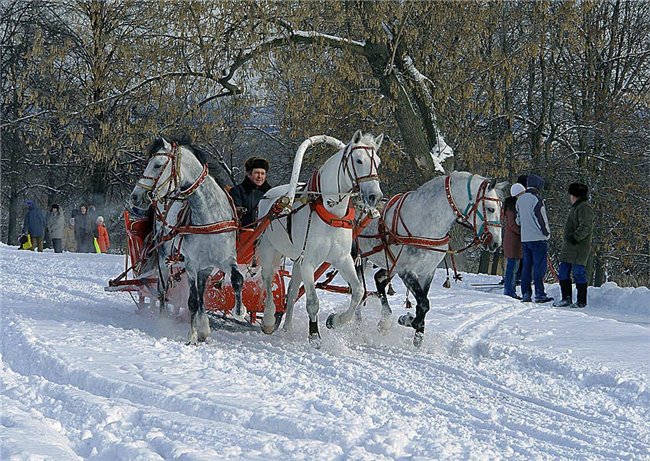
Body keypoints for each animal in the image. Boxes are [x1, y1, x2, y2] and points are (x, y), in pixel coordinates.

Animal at [129, 138, 243, 344]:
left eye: (157, 165)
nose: (135, 196)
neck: (209, 216)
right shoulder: (191, 264)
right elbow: (192, 301)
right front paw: (192, 335)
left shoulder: (224, 260)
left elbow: (237, 279)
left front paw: (239, 312)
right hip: (164, 260)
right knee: (163, 291)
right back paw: (163, 320)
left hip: (204, 268)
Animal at [254, 129, 384, 344]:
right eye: (358, 160)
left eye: (378, 162)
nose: (375, 196)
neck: (331, 213)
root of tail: (269, 195)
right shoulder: (308, 262)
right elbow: (313, 301)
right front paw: (314, 334)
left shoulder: (342, 258)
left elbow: (358, 291)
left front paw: (335, 321)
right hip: (269, 251)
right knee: (268, 279)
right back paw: (269, 320)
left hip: (296, 261)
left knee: (291, 293)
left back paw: (287, 327)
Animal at [354, 172, 506, 344]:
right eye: (491, 208)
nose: (496, 243)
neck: (425, 223)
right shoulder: (406, 271)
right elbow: (424, 304)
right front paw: (408, 321)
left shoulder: (427, 272)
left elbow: (423, 304)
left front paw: (418, 333)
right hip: (360, 259)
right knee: (359, 289)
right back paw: (357, 323)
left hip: (391, 266)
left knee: (378, 279)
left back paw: (384, 321)